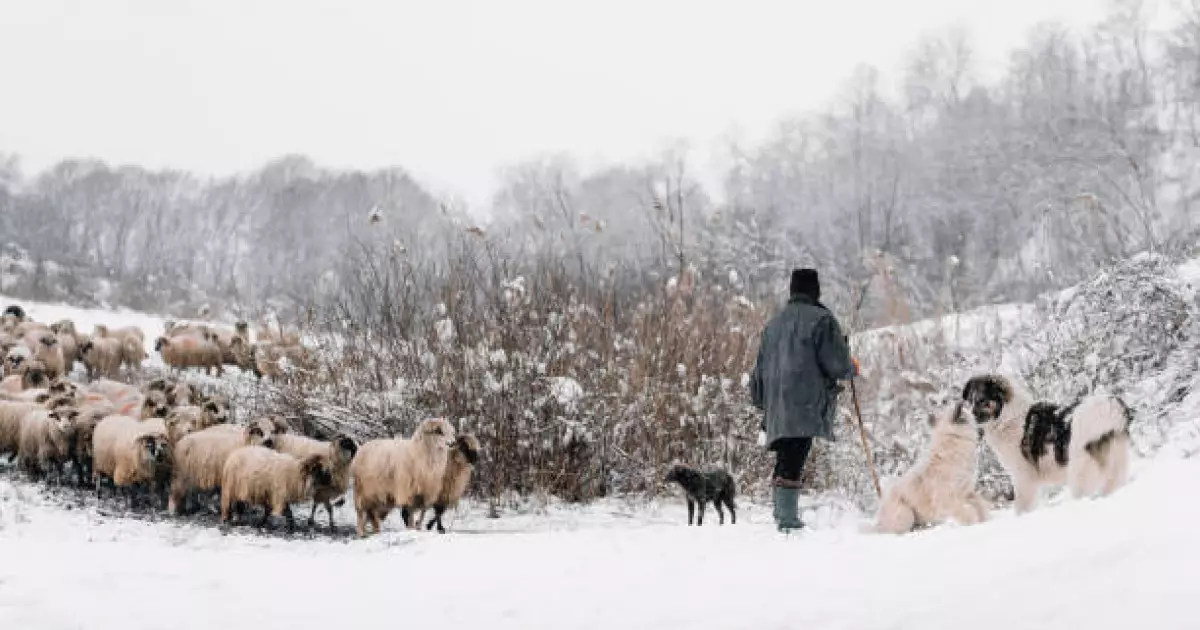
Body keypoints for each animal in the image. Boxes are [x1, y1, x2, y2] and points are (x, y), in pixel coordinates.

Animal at [864, 403, 993, 530]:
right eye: (973, 419)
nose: (983, 429)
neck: (953, 437)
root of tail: (878, 522)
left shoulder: (966, 492)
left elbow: (979, 504)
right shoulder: (947, 498)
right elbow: (967, 511)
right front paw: (972, 523)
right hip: (906, 514)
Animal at [955, 374, 1132, 511]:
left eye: (982, 400)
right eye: (970, 401)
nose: (969, 419)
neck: (1008, 418)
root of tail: (1109, 411)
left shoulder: (1023, 476)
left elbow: (1022, 506)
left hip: (1079, 473)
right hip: (1116, 468)